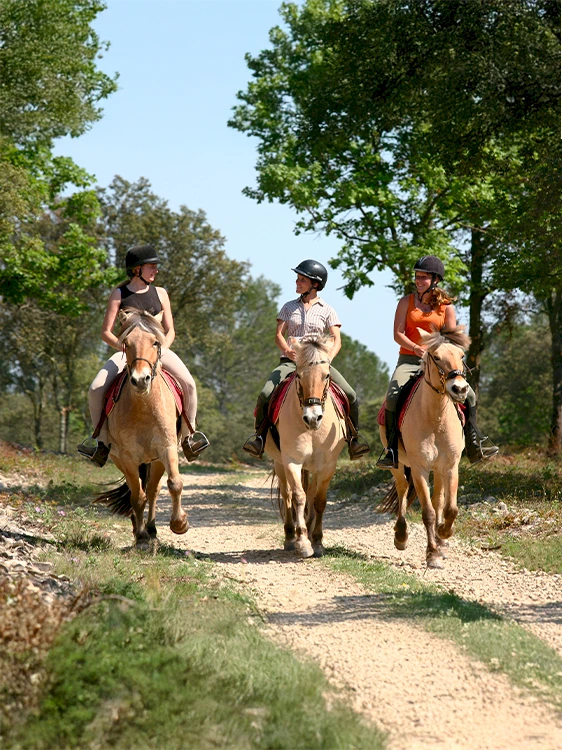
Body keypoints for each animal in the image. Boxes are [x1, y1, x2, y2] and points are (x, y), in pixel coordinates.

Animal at [94, 309, 187, 547]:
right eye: (126, 343)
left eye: (155, 342)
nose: (140, 380)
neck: (144, 407)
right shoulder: (127, 457)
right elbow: (136, 497)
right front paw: (141, 536)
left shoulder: (167, 448)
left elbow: (174, 483)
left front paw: (179, 524)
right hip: (124, 460)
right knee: (138, 492)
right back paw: (141, 532)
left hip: (155, 461)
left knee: (153, 490)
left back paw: (152, 530)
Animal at [265, 336, 347, 558]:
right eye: (299, 376)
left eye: (326, 375)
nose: (312, 417)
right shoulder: (292, 461)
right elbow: (298, 497)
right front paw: (302, 542)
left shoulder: (327, 465)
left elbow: (318, 500)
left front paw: (317, 541)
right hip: (279, 463)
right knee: (287, 495)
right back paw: (290, 537)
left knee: (310, 493)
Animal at [379, 325, 471, 569]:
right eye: (436, 357)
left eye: (462, 356)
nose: (459, 389)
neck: (435, 417)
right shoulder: (419, 468)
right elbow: (428, 512)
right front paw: (432, 555)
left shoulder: (450, 466)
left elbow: (449, 508)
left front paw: (443, 535)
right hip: (399, 465)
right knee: (402, 489)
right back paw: (401, 536)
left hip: (437, 470)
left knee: (438, 499)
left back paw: (440, 540)